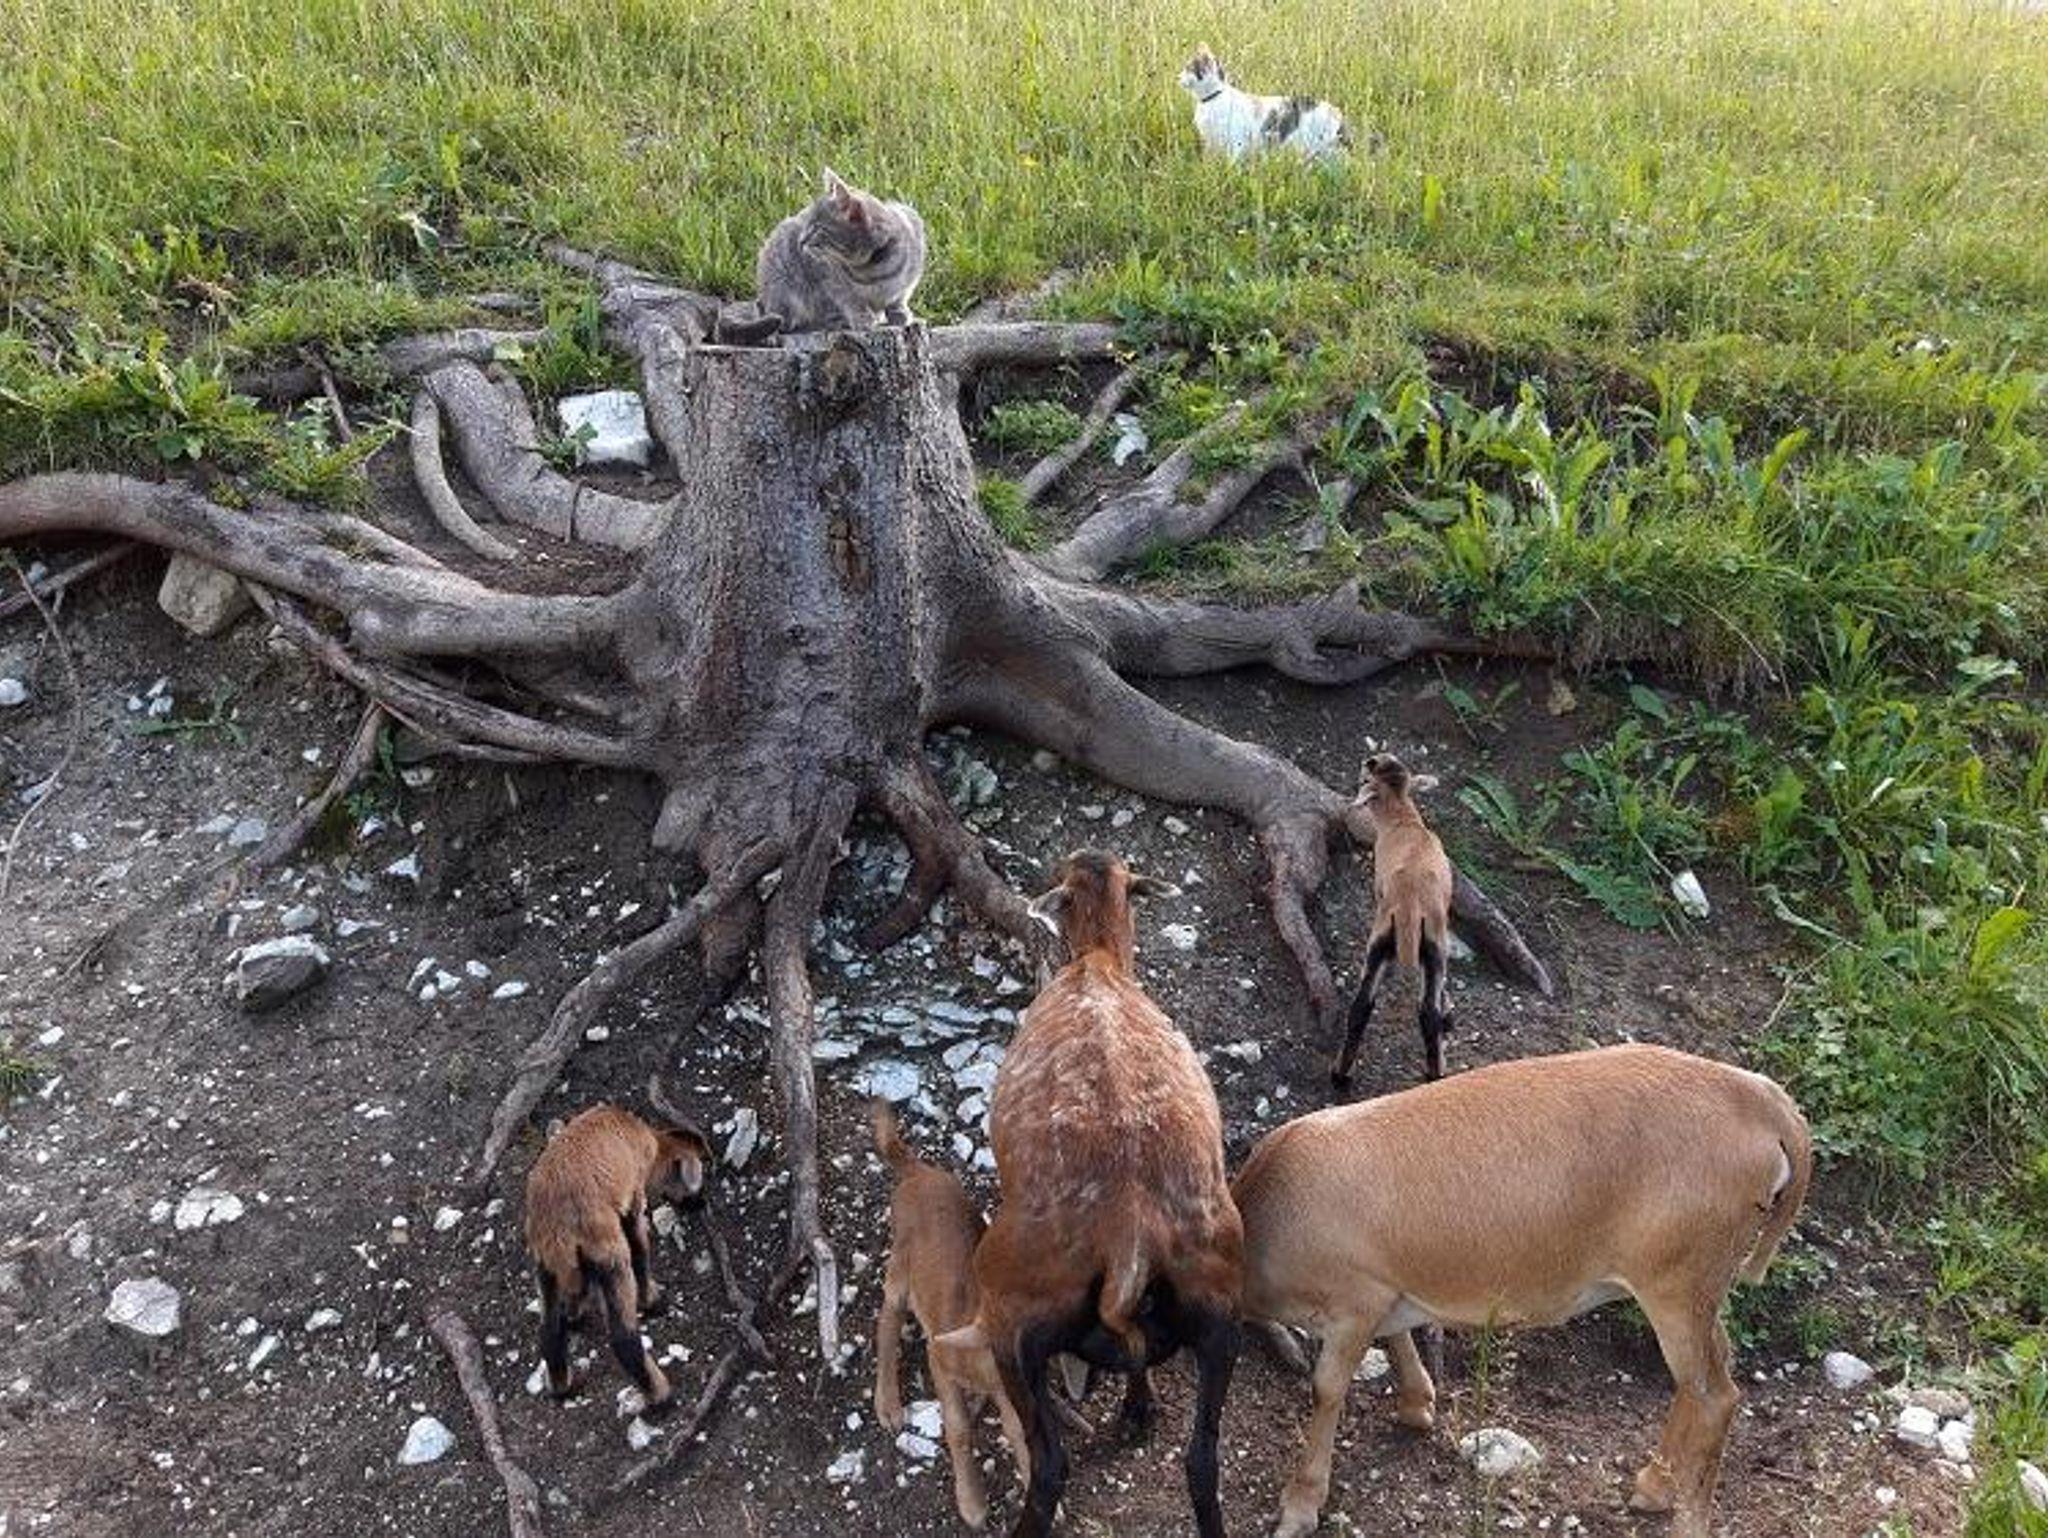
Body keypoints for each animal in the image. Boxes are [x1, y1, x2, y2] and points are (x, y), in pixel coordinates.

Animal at [522, 1079, 712, 1412]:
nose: (699, 1203)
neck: (650, 1143)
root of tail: (559, 1227)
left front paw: (576, 1312)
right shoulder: (633, 1201)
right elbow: (641, 1251)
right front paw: (653, 1301)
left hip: (545, 1264)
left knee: (549, 1332)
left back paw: (563, 1386)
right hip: (608, 1255)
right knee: (624, 1338)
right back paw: (661, 1397)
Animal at [937, 849, 1243, 1538]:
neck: (1099, 962)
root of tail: (1129, 1239)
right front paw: (1138, 1410)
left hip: (1012, 1313)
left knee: (1051, 1463)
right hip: (1220, 1304)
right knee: (1202, 1459)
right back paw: (1144, 1417)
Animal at [1233, 1043, 1813, 1538]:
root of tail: (1766, 1102)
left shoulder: (1355, 1298)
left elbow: (1327, 1387)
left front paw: (1300, 1504)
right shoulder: (1385, 1289)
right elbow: (1395, 1337)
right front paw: (1417, 1404)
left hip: (1676, 1278)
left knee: (1717, 1396)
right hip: (1700, 1282)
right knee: (1710, 1370)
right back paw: (1652, 1485)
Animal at [1333, 751, 1453, 1084]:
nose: (1371, 759)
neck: (1404, 821)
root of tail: (1410, 906)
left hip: (1381, 942)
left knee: (1361, 1005)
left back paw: (1340, 1076)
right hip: (1431, 945)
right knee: (1427, 1012)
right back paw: (1435, 1072)